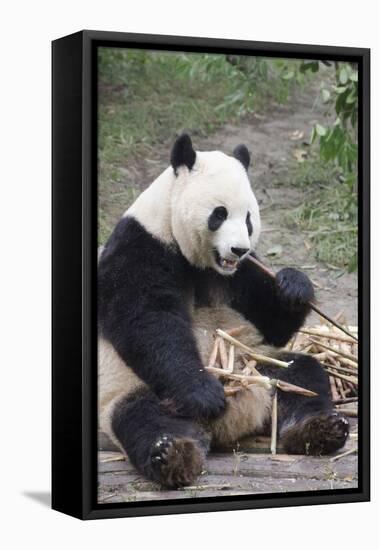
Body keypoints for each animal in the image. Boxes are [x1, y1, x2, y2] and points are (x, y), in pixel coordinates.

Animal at [98, 136, 350, 490]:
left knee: (302, 376)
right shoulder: (141, 246)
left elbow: (270, 322)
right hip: (134, 388)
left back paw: (319, 428)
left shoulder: (244, 271)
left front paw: (294, 286)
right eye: (219, 214)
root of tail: (233, 424)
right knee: (143, 416)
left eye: (248, 218)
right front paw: (204, 394)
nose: (238, 249)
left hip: (259, 364)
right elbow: (147, 320)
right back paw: (173, 454)